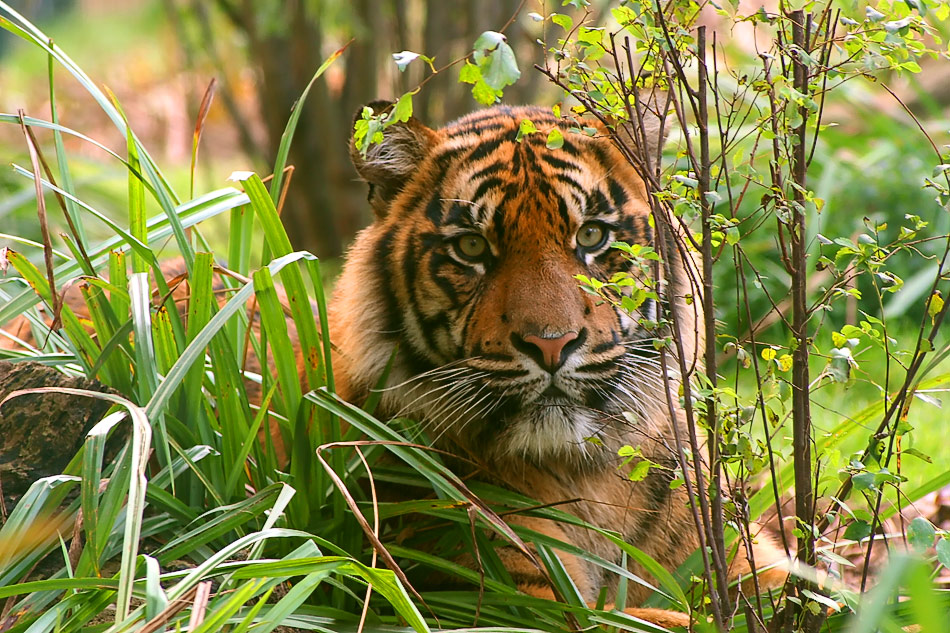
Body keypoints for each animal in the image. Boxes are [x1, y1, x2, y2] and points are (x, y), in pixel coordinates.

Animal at [330, 101, 792, 624]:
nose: (550, 346)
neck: (590, 478)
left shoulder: (740, 557)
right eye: (471, 246)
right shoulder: (519, 597)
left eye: (590, 235)